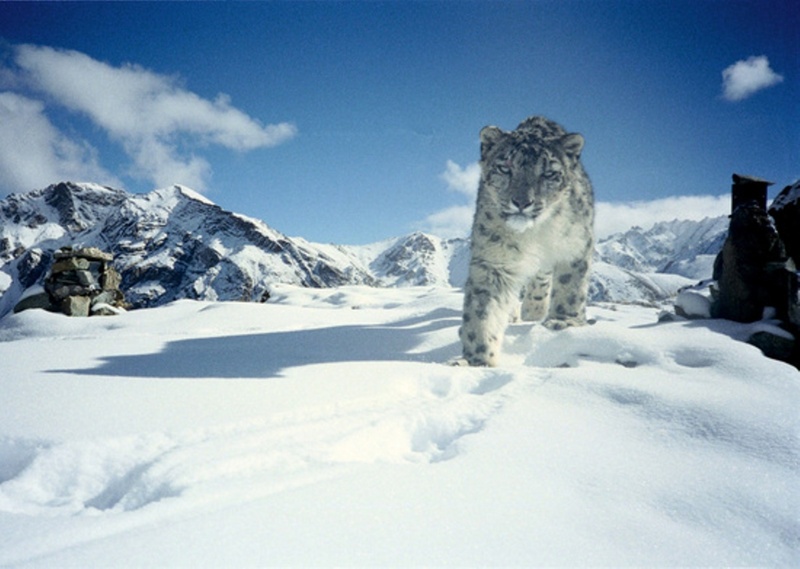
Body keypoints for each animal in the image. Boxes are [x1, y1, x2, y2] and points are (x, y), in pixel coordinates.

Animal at [456, 116, 592, 366]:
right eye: (505, 167)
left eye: (548, 173)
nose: (521, 202)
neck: (535, 233)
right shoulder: (493, 260)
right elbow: (483, 310)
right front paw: (476, 359)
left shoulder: (575, 246)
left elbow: (570, 286)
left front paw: (563, 321)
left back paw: (534, 310)